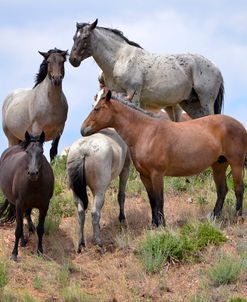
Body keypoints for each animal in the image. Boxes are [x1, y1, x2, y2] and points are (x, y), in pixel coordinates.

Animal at [0, 131, 54, 260]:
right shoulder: (19, 204)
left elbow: (40, 229)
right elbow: (18, 229)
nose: (33, 173)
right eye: (27, 152)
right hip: (15, 203)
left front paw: (40, 251)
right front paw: (14, 254)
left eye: (42, 152)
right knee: (19, 222)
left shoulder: (44, 206)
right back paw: (23, 242)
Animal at [69, 18, 224, 121]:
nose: (72, 59)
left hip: (205, 101)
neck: (120, 59)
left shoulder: (134, 94)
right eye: (73, 38)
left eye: (85, 37)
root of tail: (216, 68)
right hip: (190, 105)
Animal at [81, 89, 247, 226]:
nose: (83, 129)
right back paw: (214, 216)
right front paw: (154, 223)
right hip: (219, 165)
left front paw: (162, 224)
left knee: (238, 189)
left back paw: (237, 217)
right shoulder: (145, 176)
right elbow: (152, 200)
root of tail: (239, 125)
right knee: (222, 190)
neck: (145, 132)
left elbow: (160, 199)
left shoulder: (157, 174)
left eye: (97, 109)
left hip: (236, 163)